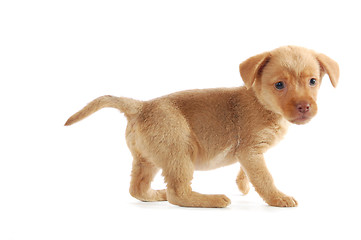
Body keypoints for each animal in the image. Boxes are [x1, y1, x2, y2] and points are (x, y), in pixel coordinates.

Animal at [64, 46, 338, 207]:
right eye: (280, 85)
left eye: (313, 81)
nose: (305, 107)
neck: (263, 104)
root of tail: (141, 106)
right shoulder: (251, 151)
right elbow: (264, 178)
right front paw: (278, 198)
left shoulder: (248, 154)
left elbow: (248, 173)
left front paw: (243, 186)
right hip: (179, 154)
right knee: (178, 194)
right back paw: (213, 199)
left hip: (146, 160)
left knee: (137, 189)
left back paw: (156, 195)